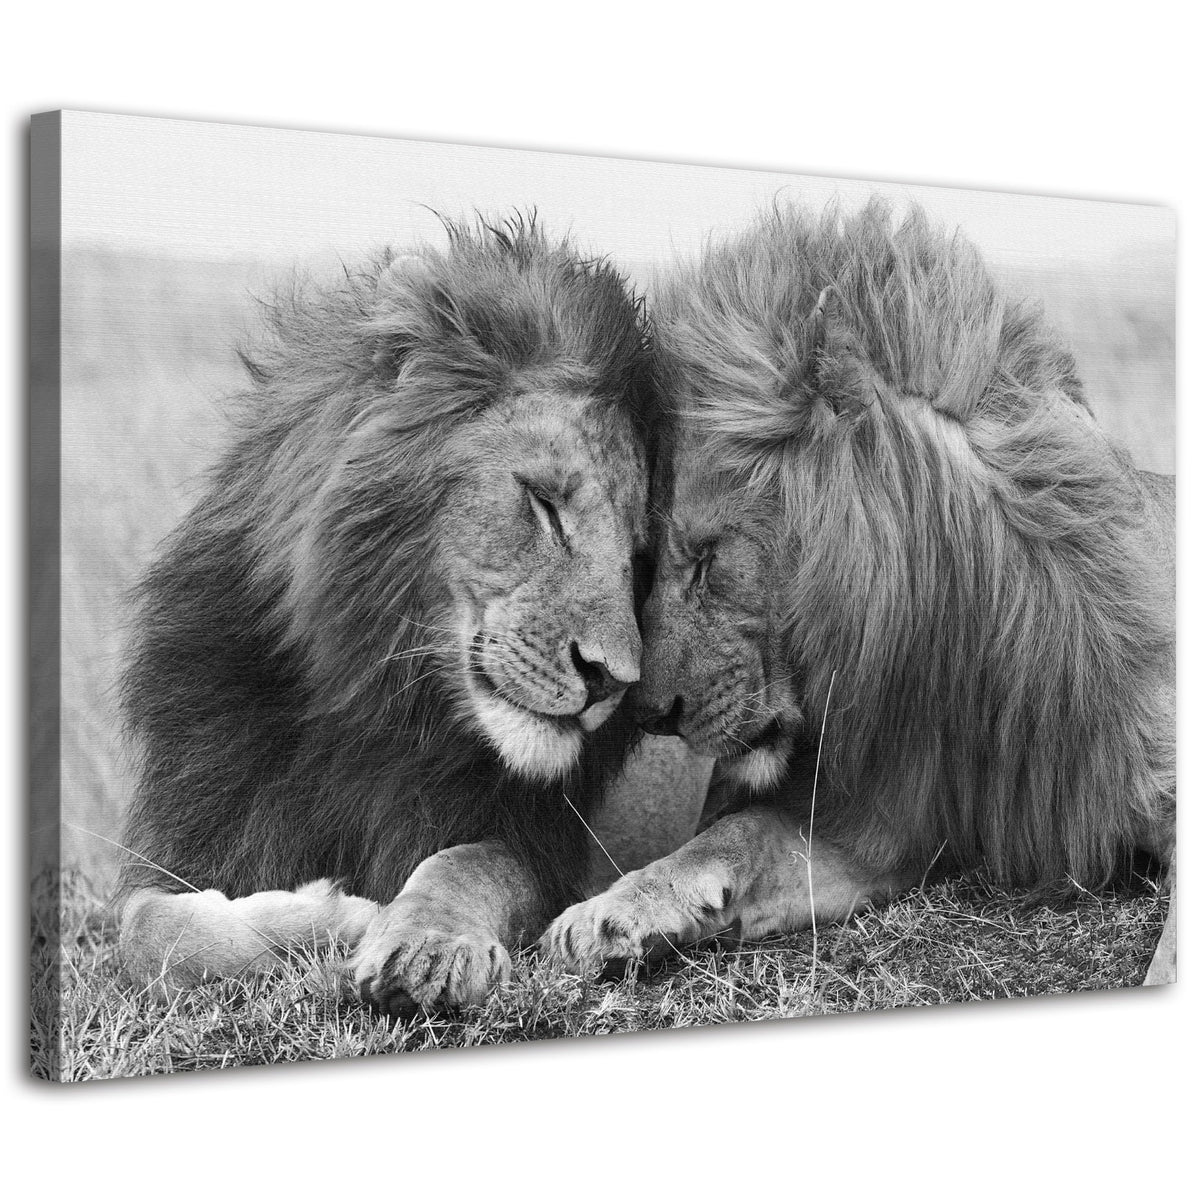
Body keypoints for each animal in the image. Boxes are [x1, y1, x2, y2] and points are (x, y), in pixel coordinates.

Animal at [117, 215, 657, 1015]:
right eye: (545, 503)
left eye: (638, 556)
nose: (612, 682)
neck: (369, 704)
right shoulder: (192, 834)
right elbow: (149, 930)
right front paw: (334, 915)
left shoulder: (541, 844)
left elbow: (466, 863)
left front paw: (421, 944)